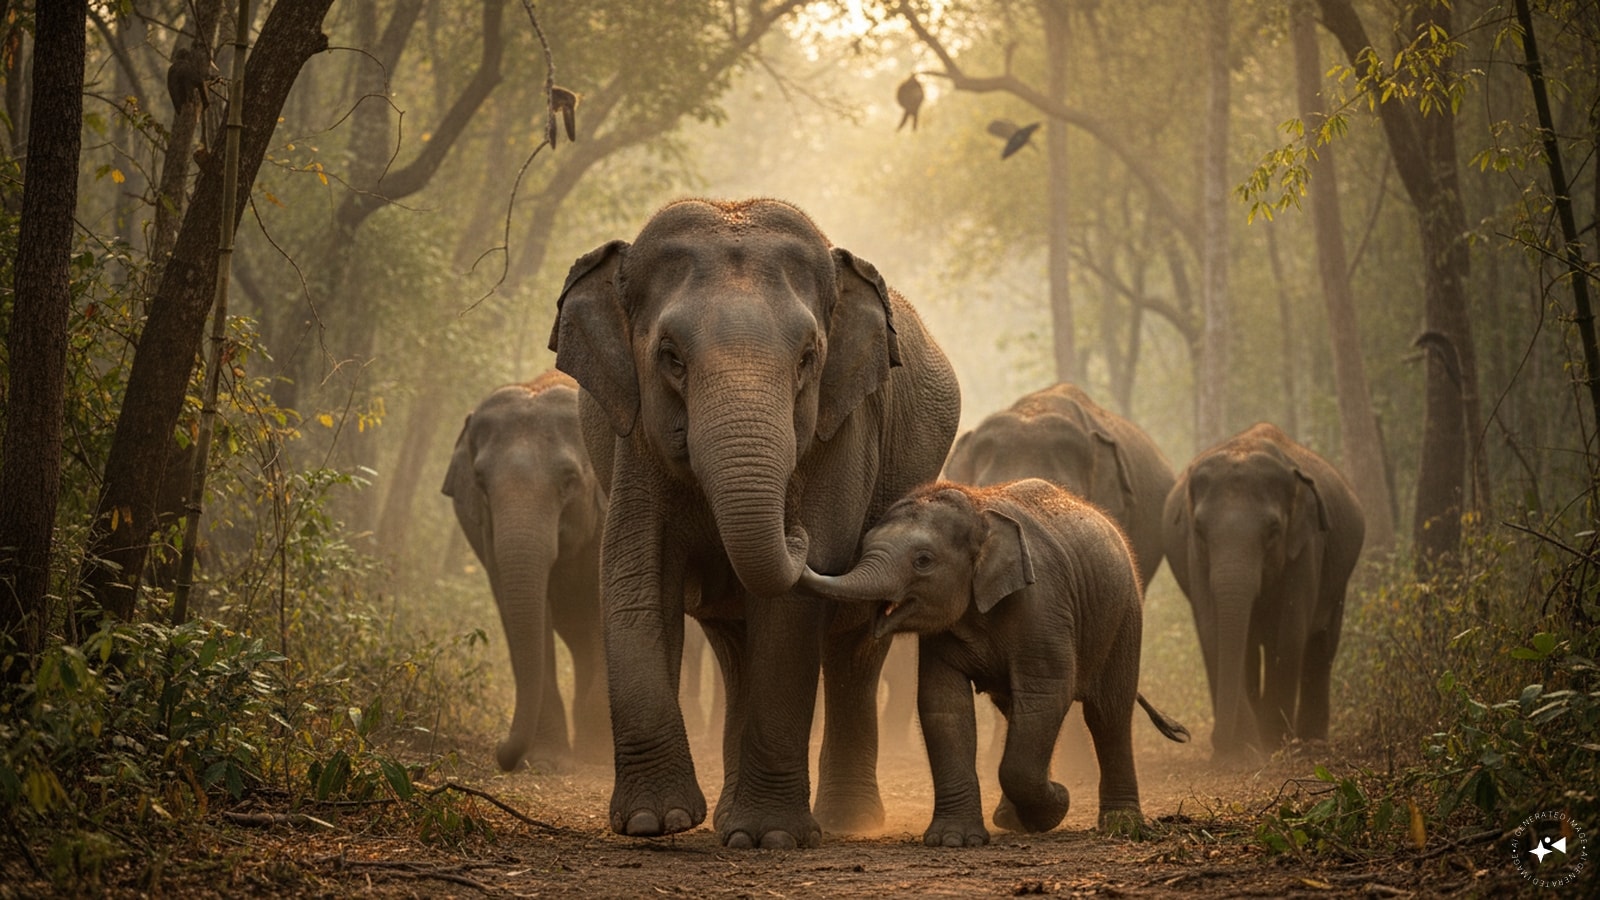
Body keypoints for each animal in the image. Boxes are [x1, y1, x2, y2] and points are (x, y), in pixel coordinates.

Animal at [442, 370, 609, 772]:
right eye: (481, 482)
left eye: (569, 479)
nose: (501, 753)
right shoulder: (484, 533)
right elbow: (516, 604)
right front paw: (549, 759)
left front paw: (598, 756)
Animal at [548, 198, 961, 849]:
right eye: (670, 356)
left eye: (808, 357)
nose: (795, 532)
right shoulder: (632, 437)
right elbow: (636, 579)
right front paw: (654, 823)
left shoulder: (843, 428)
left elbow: (791, 611)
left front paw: (770, 837)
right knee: (735, 644)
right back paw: (726, 820)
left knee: (852, 653)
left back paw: (844, 822)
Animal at [799, 479, 1190, 847]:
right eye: (863, 546)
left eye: (923, 560)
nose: (797, 536)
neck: (978, 510)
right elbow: (943, 704)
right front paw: (954, 840)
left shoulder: (1042, 604)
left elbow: (1047, 693)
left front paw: (1057, 804)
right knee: (1016, 709)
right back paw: (1012, 817)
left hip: (1124, 615)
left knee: (1108, 713)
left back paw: (1120, 824)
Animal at [1162, 423, 1365, 762]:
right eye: (1200, 529)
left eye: (1273, 530)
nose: (1218, 744)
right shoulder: (1194, 555)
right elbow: (1212, 630)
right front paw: (1244, 750)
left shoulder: (1307, 545)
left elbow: (1290, 633)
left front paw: (1272, 742)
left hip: (1340, 578)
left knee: (1322, 644)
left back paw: (1310, 741)